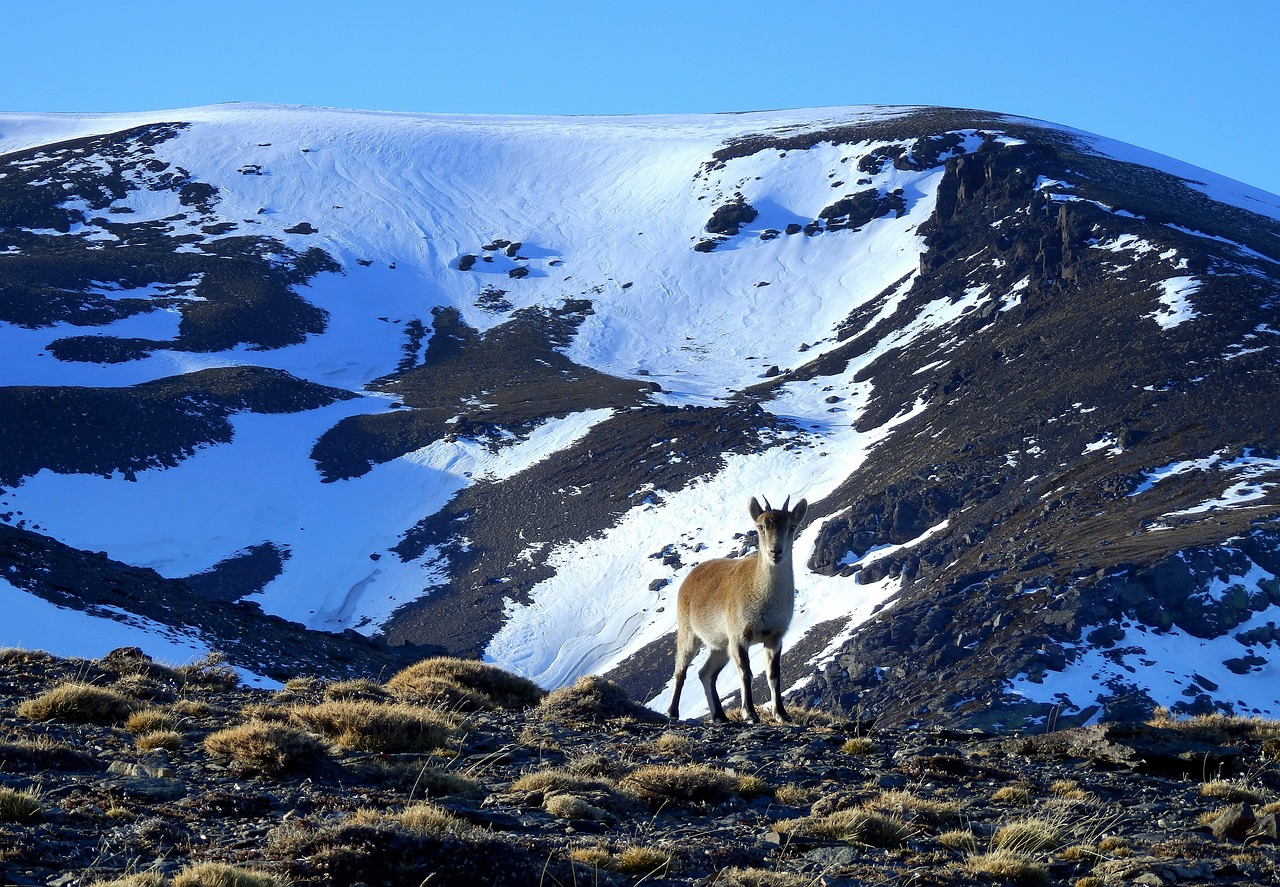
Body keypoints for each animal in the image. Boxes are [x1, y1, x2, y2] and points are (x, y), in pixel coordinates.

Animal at [667, 495, 808, 723]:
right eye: (760, 527)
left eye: (792, 526)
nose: (775, 552)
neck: (763, 598)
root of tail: (689, 578)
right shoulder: (739, 636)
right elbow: (745, 672)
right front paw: (749, 713)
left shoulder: (774, 637)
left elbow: (773, 674)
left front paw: (781, 714)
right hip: (688, 632)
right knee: (681, 670)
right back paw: (672, 712)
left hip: (720, 645)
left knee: (706, 673)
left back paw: (720, 716)